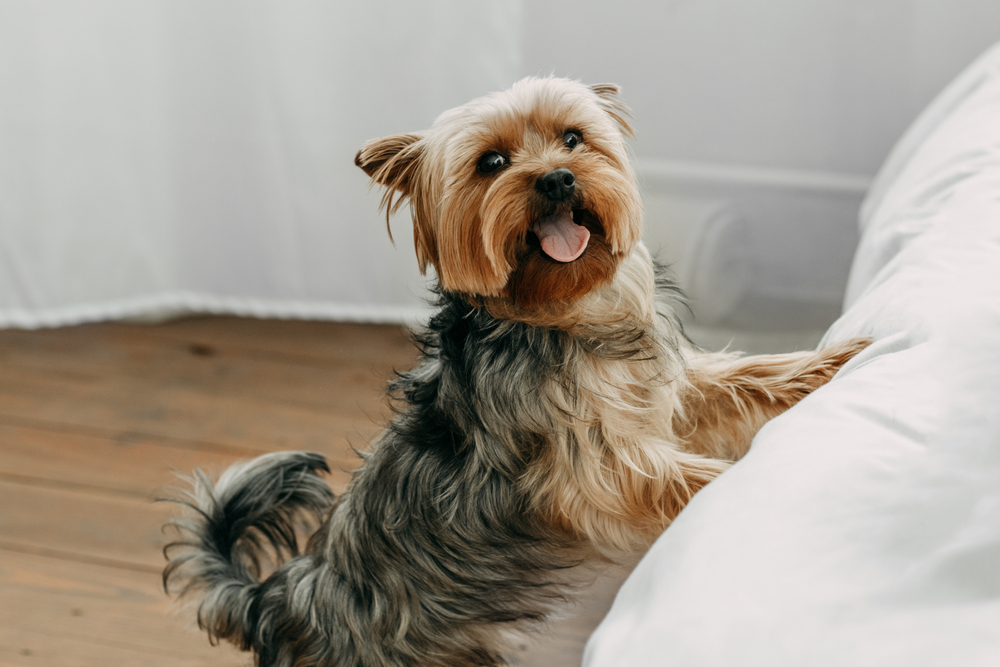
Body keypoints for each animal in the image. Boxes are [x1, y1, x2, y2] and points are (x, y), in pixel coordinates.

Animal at [162, 79, 868, 667]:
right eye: (492, 163)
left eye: (573, 138)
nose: (556, 178)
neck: (566, 318)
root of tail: (278, 600)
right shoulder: (596, 468)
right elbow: (683, 476)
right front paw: (756, 481)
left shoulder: (666, 391)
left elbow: (740, 377)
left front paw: (832, 362)